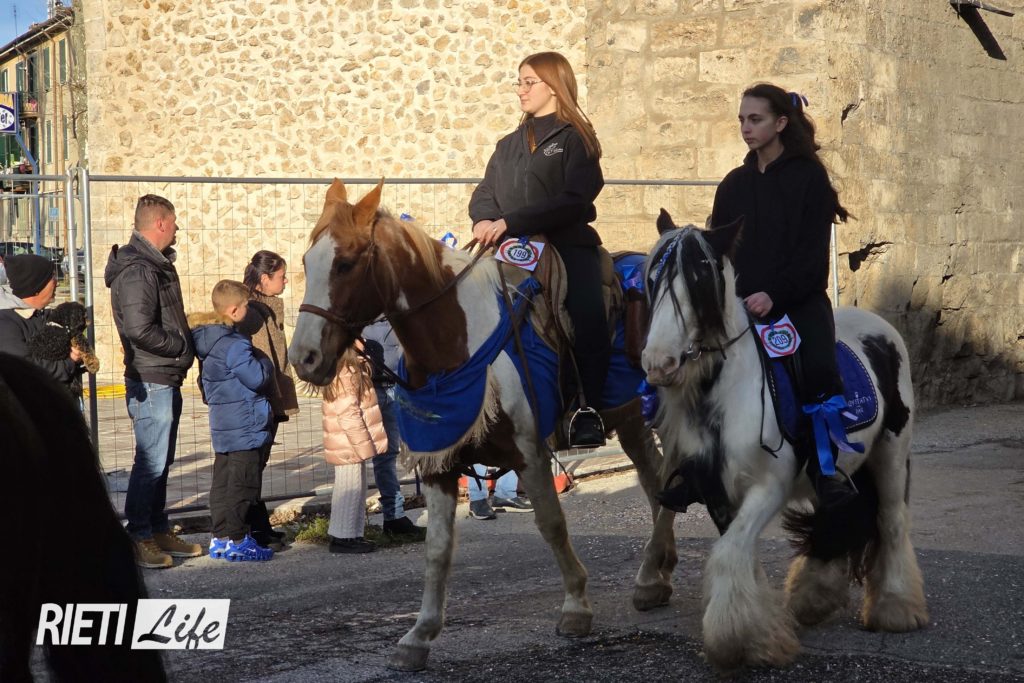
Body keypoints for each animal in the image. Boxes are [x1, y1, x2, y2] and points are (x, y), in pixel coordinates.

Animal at [288, 179, 668, 671]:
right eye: (305, 262)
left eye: (346, 264)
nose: (303, 358)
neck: (455, 341)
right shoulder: (439, 462)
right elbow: (437, 548)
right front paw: (419, 635)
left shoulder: (529, 453)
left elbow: (552, 524)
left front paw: (576, 607)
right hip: (631, 417)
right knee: (656, 479)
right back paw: (658, 575)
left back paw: (652, 575)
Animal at [637, 211, 929, 671]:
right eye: (651, 279)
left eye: (701, 279)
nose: (658, 363)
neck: (725, 394)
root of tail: (881, 328)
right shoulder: (717, 494)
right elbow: (740, 554)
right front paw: (759, 633)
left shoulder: (767, 488)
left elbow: (730, 554)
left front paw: (735, 641)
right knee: (835, 516)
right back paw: (813, 598)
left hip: (891, 453)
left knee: (891, 520)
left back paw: (896, 608)